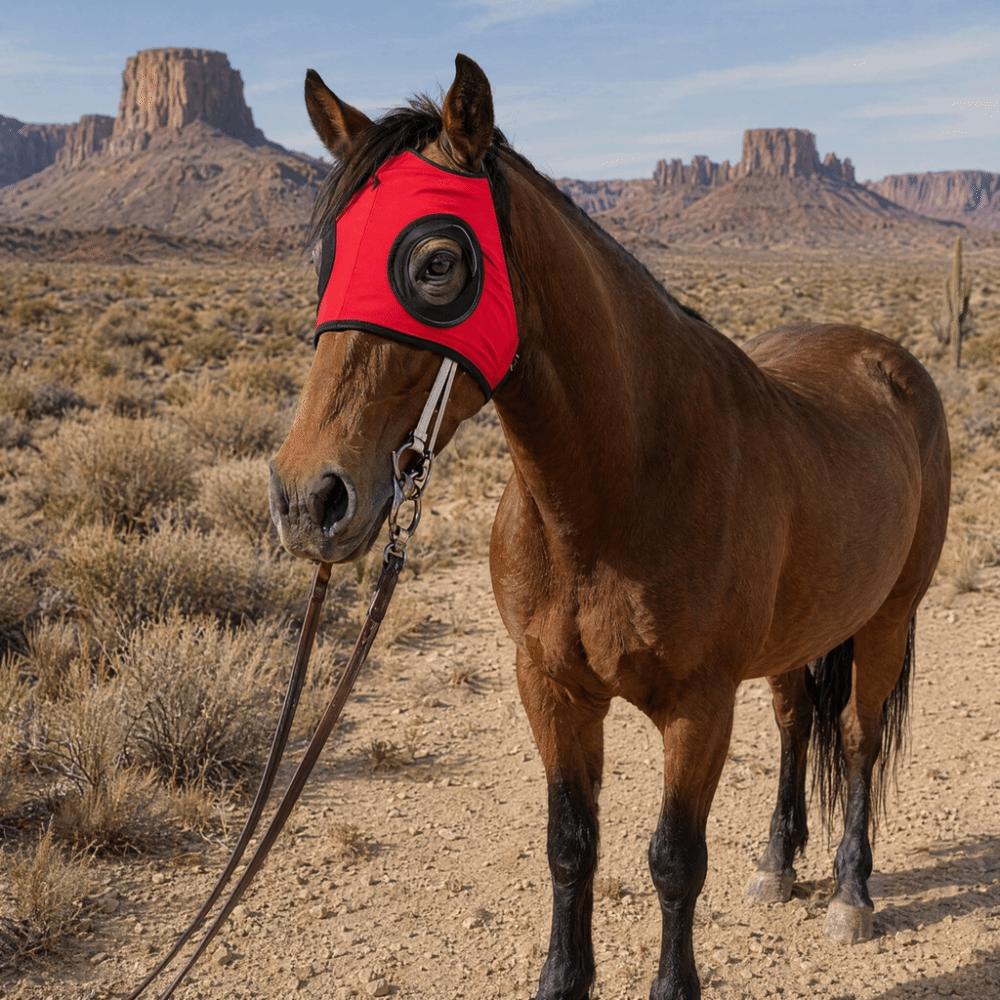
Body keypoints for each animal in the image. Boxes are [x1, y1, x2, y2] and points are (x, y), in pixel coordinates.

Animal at [269, 55, 951, 1000]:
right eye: (326, 258)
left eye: (437, 262)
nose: (309, 499)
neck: (614, 494)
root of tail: (889, 360)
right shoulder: (551, 688)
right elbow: (570, 846)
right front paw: (563, 977)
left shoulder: (698, 707)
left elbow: (674, 860)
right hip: (803, 632)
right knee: (792, 723)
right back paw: (777, 864)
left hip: (887, 618)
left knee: (855, 737)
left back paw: (851, 894)